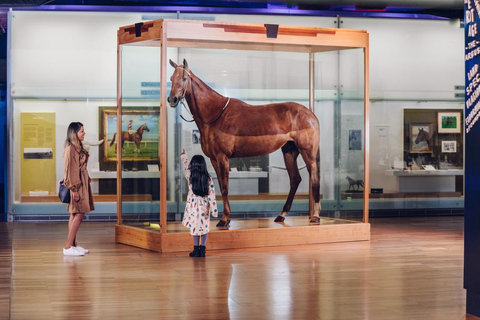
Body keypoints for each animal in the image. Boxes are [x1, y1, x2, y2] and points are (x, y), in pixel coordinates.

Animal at [167, 59, 320, 225]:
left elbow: (225, 187)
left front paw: (224, 219)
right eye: (171, 78)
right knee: (295, 179)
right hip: (289, 152)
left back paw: (316, 215)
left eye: (184, 78)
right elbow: (221, 186)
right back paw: (282, 215)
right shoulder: (214, 159)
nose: (172, 99)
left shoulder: (222, 157)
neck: (215, 114)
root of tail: (311, 115)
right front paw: (225, 218)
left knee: (314, 178)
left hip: (307, 152)